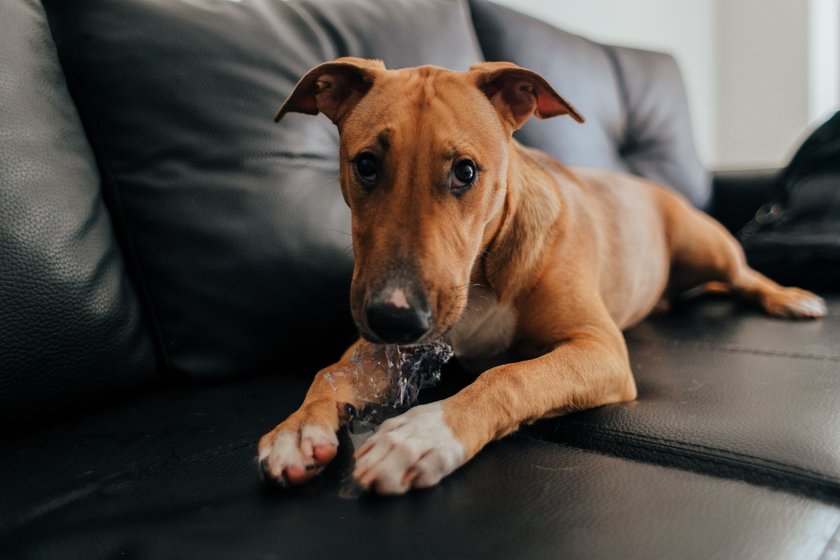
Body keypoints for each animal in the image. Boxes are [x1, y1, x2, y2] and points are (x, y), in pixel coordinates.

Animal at [258, 57, 828, 494]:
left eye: (465, 171)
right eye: (366, 165)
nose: (395, 319)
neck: (483, 272)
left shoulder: (599, 348)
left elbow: (508, 376)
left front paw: (424, 434)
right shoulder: (389, 342)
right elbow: (328, 373)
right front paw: (297, 429)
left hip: (708, 243)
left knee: (743, 274)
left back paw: (791, 298)